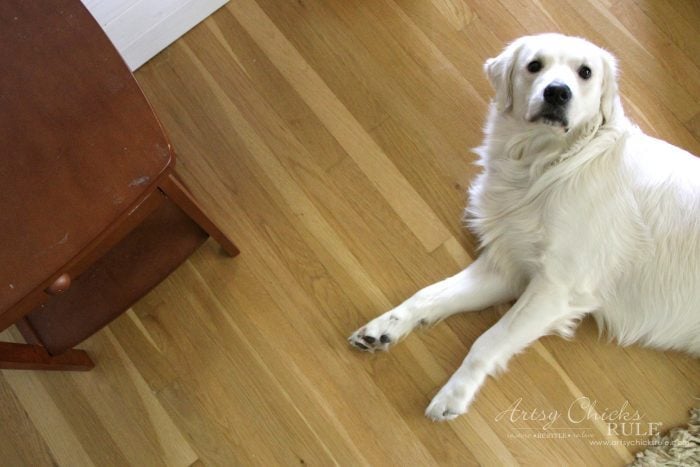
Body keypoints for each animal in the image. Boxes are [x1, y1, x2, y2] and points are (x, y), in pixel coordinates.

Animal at [350, 33, 700, 420]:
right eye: (535, 65)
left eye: (585, 72)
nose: (557, 92)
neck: (548, 165)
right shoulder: (508, 267)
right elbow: (429, 294)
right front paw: (386, 326)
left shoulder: (557, 289)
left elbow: (488, 340)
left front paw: (454, 394)